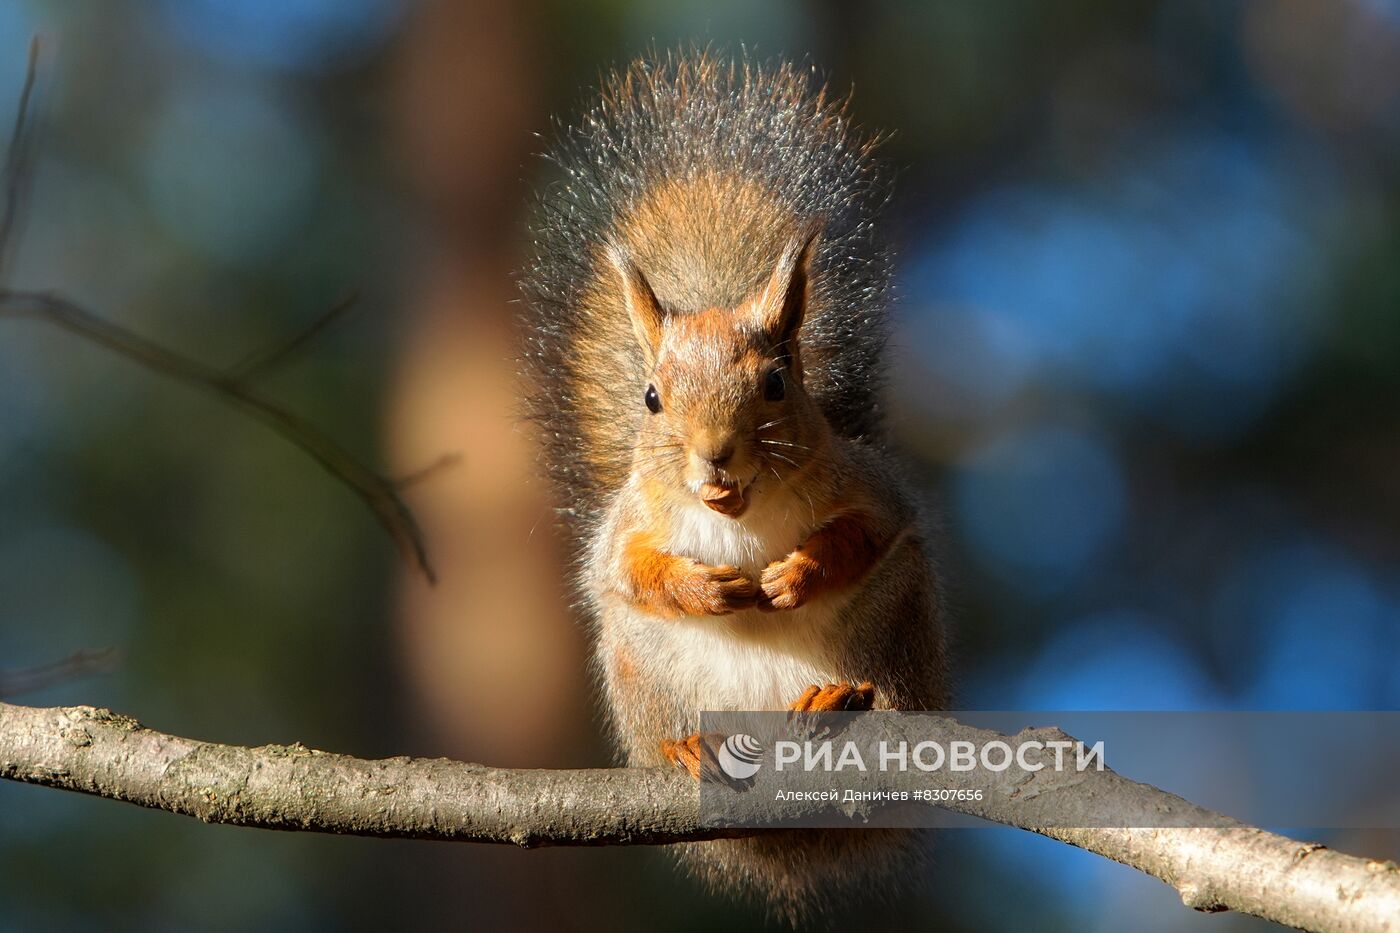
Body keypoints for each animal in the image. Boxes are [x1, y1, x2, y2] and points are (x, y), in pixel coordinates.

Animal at [520, 49, 946, 913]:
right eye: (651, 397)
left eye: (778, 383)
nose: (714, 455)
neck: (738, 517)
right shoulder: (627, 526)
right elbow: (625, 567)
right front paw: (705, 587)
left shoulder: (870, 489)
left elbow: (868, 531)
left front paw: (797, 572)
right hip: (639, 660)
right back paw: (686, 744)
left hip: (894, 620)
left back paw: (844, 699)